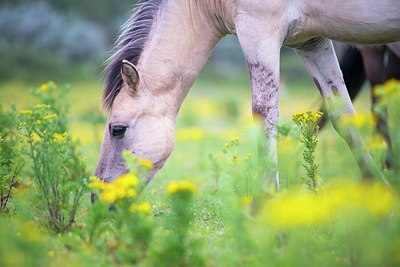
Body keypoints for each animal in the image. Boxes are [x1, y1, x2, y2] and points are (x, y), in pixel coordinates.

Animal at [94, 0, 400, 191]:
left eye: (117, 129)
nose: (99, 195)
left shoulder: (259, 32)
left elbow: (264, 119)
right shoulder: (311, 42)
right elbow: (343, 118)